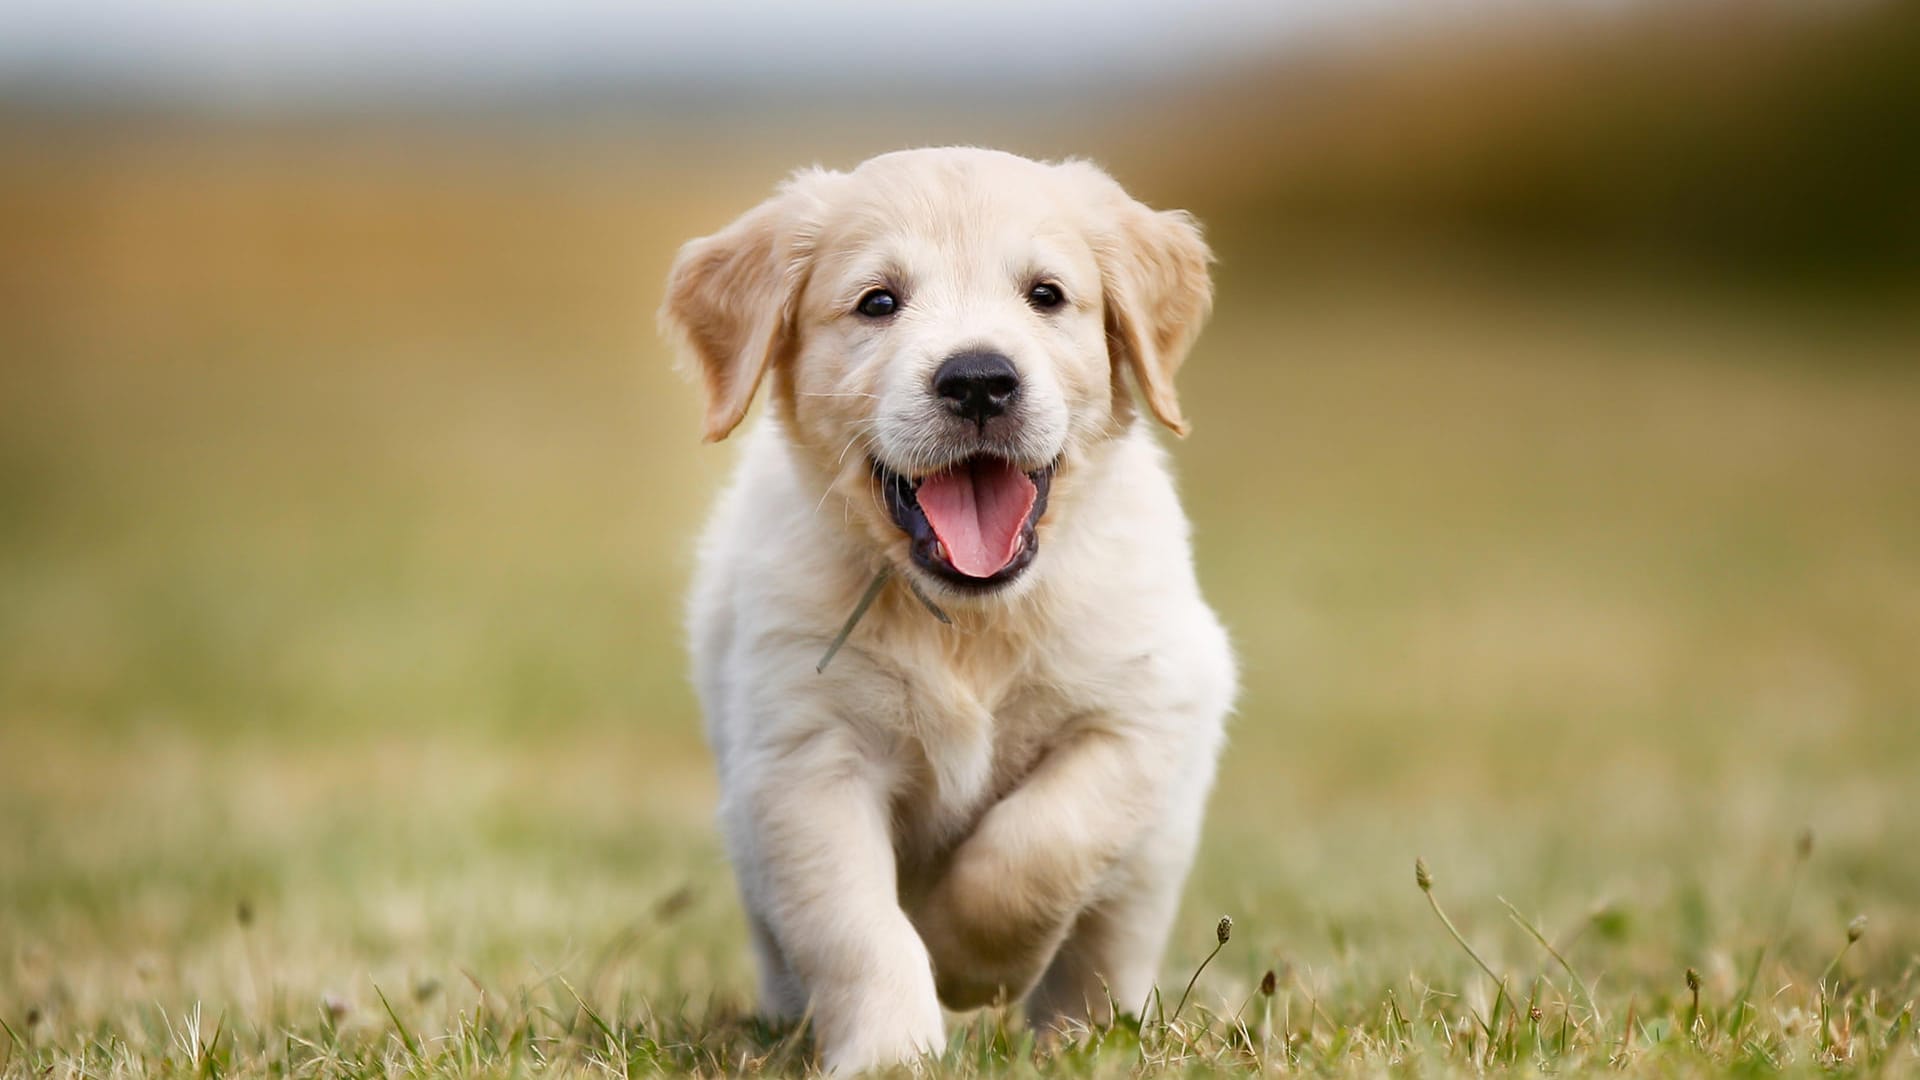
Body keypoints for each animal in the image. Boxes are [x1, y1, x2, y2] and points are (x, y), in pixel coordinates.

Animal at [660, 145, 1228, 1068]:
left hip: (1156, 852)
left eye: (1046, 294)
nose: (979, 380)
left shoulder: (1142, 713)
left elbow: (1040, 844)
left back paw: (1087, 1035)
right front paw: (893, 1052)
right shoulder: (804, 762)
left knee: (1107, 942)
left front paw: (968, 961)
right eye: (879, 302)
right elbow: (859, 928)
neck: (971, 621)